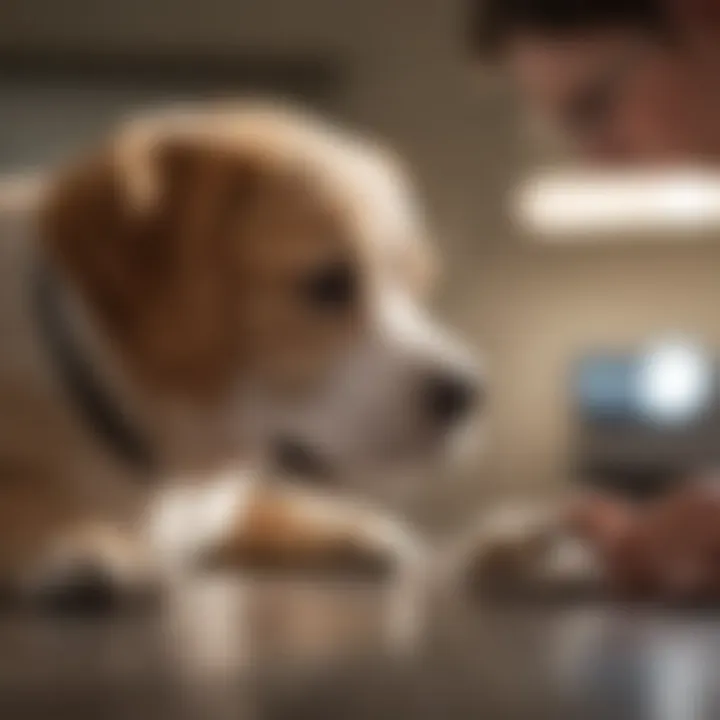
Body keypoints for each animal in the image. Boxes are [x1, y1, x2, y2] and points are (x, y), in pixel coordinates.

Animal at [0, 102, 484, 608]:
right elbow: (18, 496)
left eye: (418, 285)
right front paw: (71, 537)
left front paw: (345, 523)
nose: (468, 394)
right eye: (328, 283)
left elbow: (259, 502)